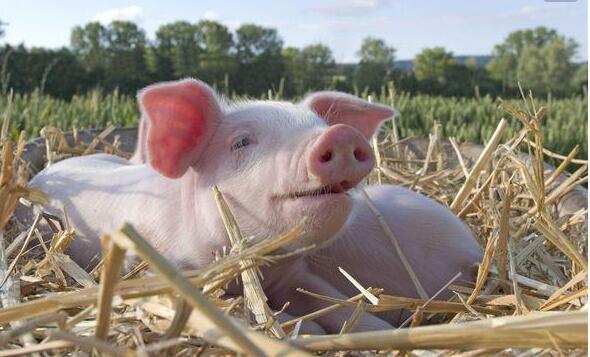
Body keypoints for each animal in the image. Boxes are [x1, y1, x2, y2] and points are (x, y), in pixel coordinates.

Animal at [26, 78, 480, 334]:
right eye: (242, 142)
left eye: (319, 126)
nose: (339, 134)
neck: (258, 267)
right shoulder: (174, 274)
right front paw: (307, 332)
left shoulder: (297, 274)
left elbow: (339, 303)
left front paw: (378, 329)